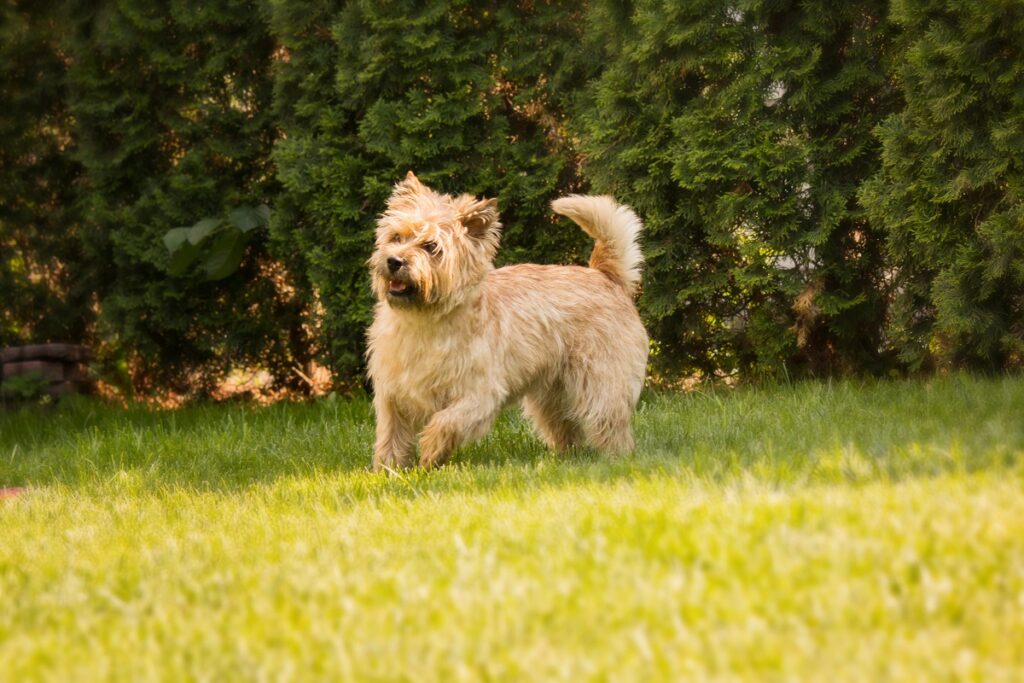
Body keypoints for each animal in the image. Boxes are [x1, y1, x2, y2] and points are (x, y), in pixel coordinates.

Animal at [368, 171, 647, 471]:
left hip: (600, 382)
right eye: (397, 236)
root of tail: (606, 275)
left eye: (431, 247)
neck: (424, 321)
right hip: (551, 394)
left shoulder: (478, 395)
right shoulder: (392, 395)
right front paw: (387, 470)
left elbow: (446, 422)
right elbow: (391, 435)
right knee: (566, 428)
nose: (394, 260)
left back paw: (616, 459)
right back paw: (565, 459)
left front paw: (430, 453)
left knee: (609, 422)